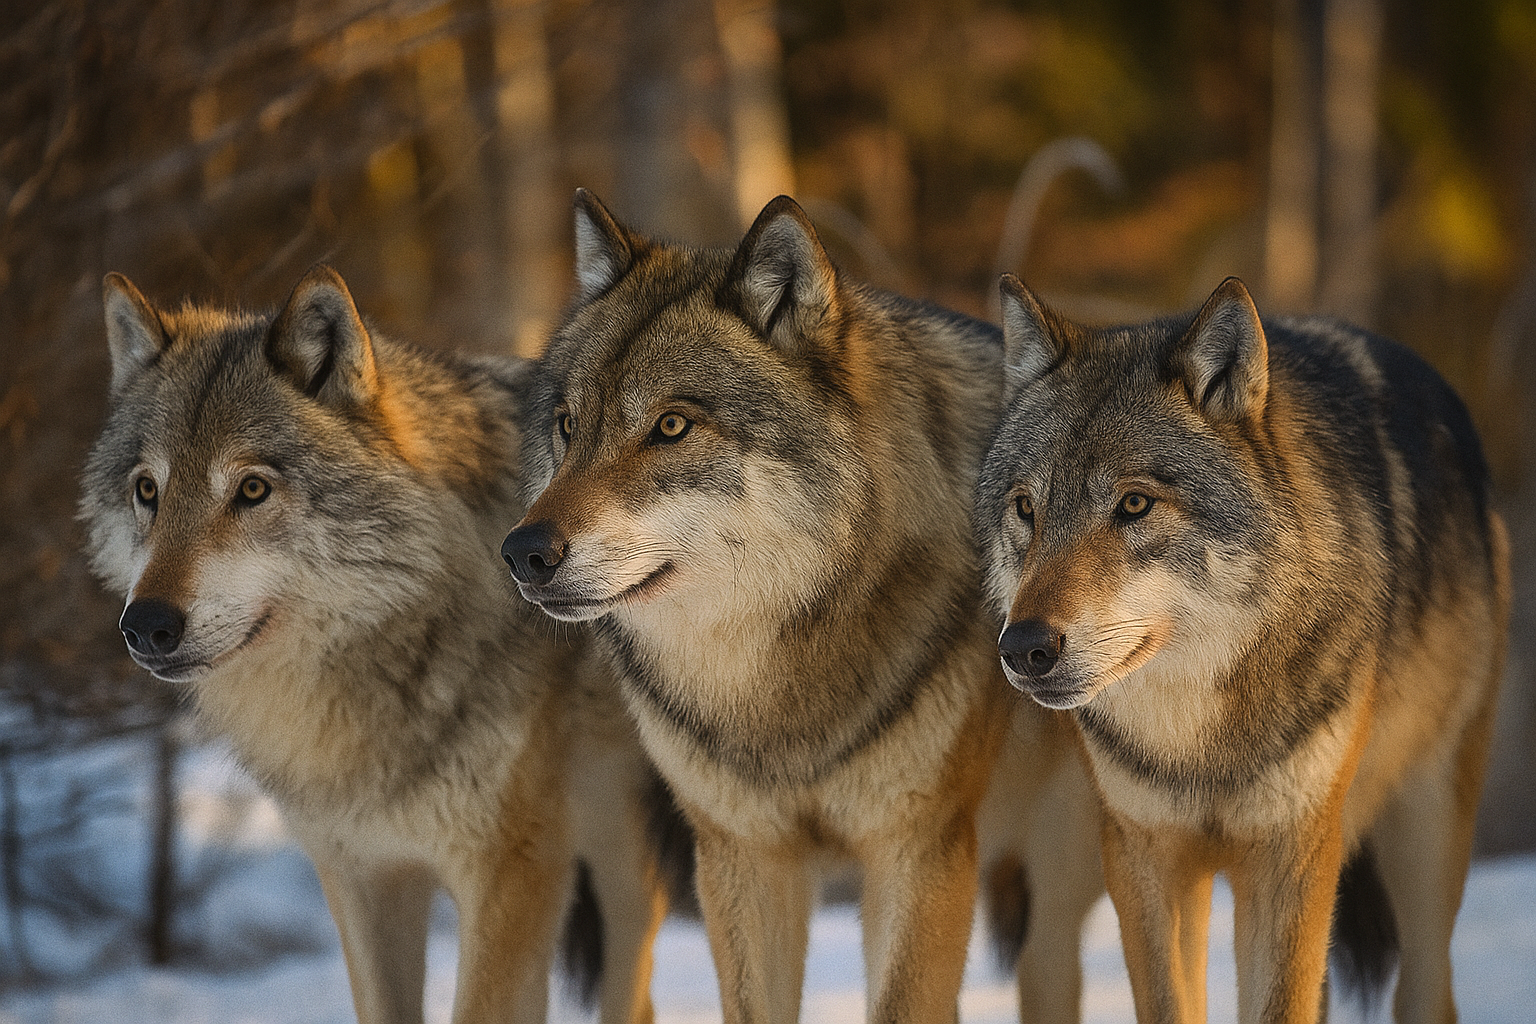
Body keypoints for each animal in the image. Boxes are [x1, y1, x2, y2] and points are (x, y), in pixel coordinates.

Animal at [80, 266, 674, 1024]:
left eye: (252, 489)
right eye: (148, 491)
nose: (146, 624)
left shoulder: (512, 876)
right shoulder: (362, 879)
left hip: (627, 844)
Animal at [500, 191, 1103, 1024]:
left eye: (671, 425)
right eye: (568, 426)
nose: (523, 550)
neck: (780, 689)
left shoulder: (920, 850)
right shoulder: (743, 856)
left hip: (1069, 867)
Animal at [975, 274, 1509, 1024]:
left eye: (1134, 505)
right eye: (1027, 508)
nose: (1023, 646)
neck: (1200, 745)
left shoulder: (1289, 857)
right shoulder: (1145, 858)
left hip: (1422, 848)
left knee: (1428, 990)